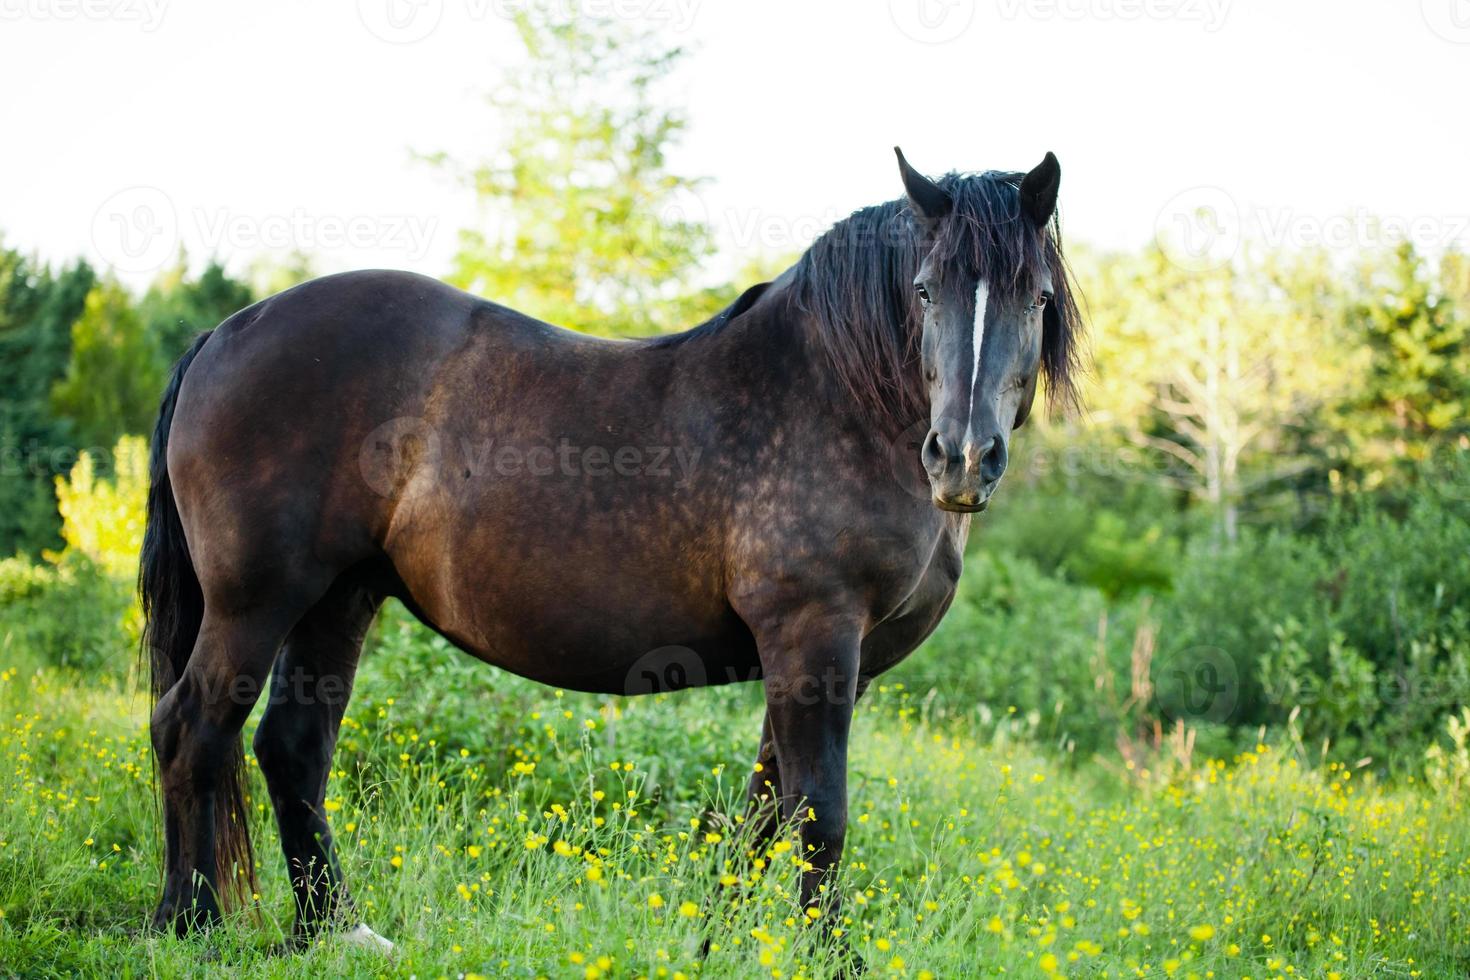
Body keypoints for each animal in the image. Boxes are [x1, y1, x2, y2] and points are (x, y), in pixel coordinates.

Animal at [138, 147, 1081, 952]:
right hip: (255, 602)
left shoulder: (825, 660)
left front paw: (718, 945)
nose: (962, 458)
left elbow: (762, 811)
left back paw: (334, 930)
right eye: (924, 291)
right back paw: (189, 924)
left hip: (341, 596)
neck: (836, 399)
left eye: (1035, 297)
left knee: (291, 747)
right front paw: (825, 956)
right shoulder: (813, 638)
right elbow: (819, 814)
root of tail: (229, 331)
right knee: (191, 729)